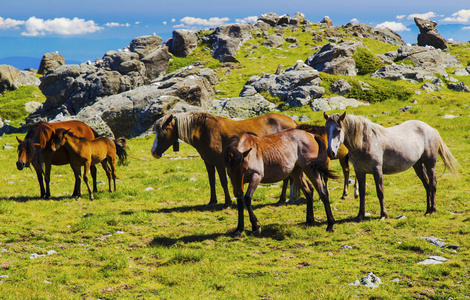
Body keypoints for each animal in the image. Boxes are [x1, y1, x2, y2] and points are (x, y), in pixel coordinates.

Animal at [151, 111, 298, 207]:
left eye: (162, 132)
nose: (153, 152)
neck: (205, 131)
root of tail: (292, 122)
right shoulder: (208, 162)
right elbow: (211, 181)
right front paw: (212, 201)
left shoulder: (220, 163)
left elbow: (223, 181)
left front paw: (228, 202)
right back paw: (283, 199)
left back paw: (283, 199)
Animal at [324, 111, 458, 221]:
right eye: (326, 130)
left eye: (338, 130)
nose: (330, 152)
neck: (364, 141)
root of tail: (431, 129)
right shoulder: (360, 171)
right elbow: (362, 193)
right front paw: (360, 215)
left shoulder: (377, 170)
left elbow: (380, 191)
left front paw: (383, 215)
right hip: (418, 165)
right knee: (427, 185)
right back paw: (427, 210)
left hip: (430, 164)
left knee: (433, 184)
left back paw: (433, 210)